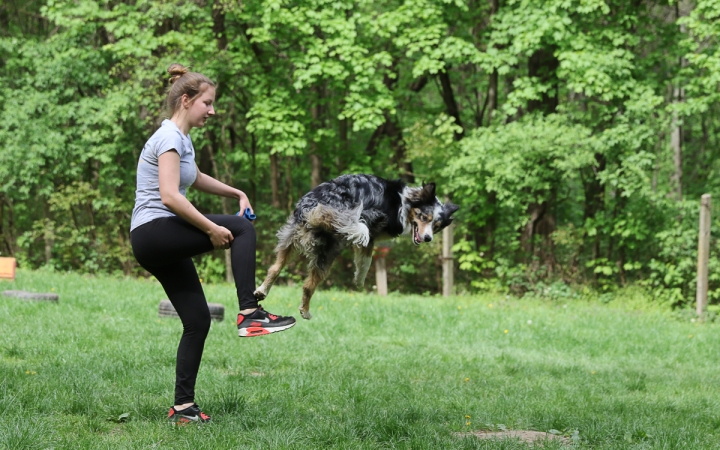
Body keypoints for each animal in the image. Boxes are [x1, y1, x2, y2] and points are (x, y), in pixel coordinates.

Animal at [253, 173, 458, 320]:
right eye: (424, 217)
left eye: (436, 226)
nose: (428, 238)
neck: (404, 203)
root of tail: (317, 204)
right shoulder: (372, 228)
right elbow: (366, 260)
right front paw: (359, 281)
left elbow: (364, 258)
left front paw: (359, 280)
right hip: (330, 248)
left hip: (293, 239)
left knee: (279, 270)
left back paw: (267, 293)